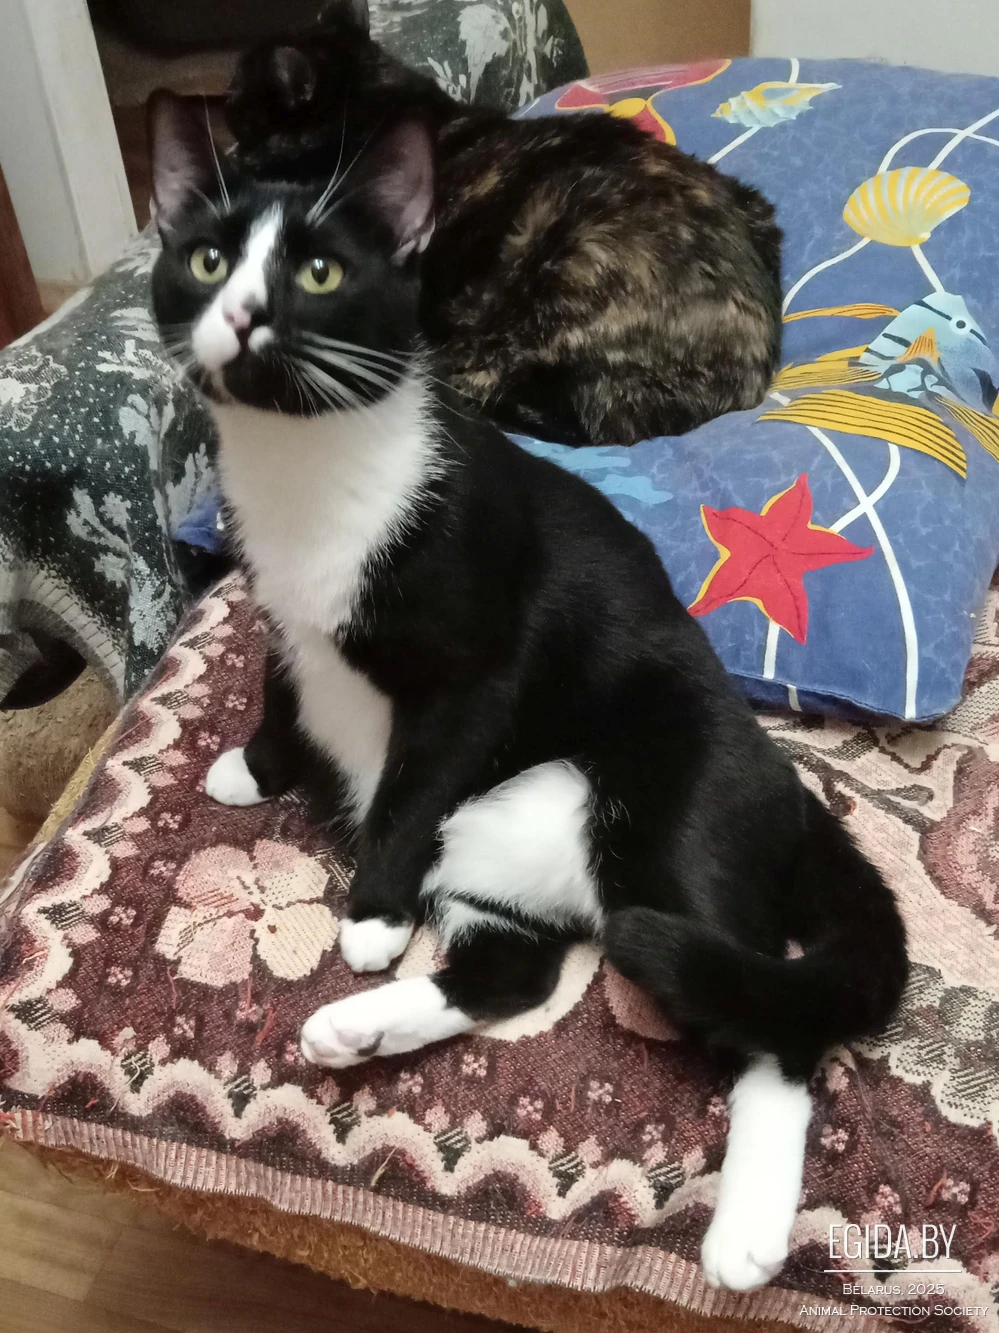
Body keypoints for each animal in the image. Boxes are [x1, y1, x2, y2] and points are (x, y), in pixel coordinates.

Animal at [148, 90, 907, 1293]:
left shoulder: (476, 665)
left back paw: (744, 1231)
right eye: (207, 258)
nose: (247, 318)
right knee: (516, 968)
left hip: (665, 824)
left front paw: (369, 912)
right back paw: (362, 1027)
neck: (310, 472)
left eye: (318, 273)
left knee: (770, 1021)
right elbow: (279, 677)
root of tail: (787, 791)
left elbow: (411, 785)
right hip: (501, 851)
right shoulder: (277, 603)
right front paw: (256, 764)